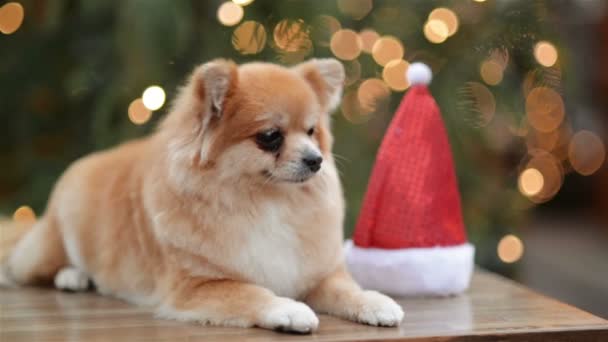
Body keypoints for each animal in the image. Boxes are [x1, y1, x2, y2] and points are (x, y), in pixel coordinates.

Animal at [4, 59, 406, 334]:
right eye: (270, 137)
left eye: (311, 132)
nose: (316, 159)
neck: (266, 202)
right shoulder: (197, 286)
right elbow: (251, 293)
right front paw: (288, 310)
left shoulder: (318, 274)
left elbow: (348, 290)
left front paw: (375, 301)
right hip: (48, 247)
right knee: (24, 269)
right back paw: (71, 276)